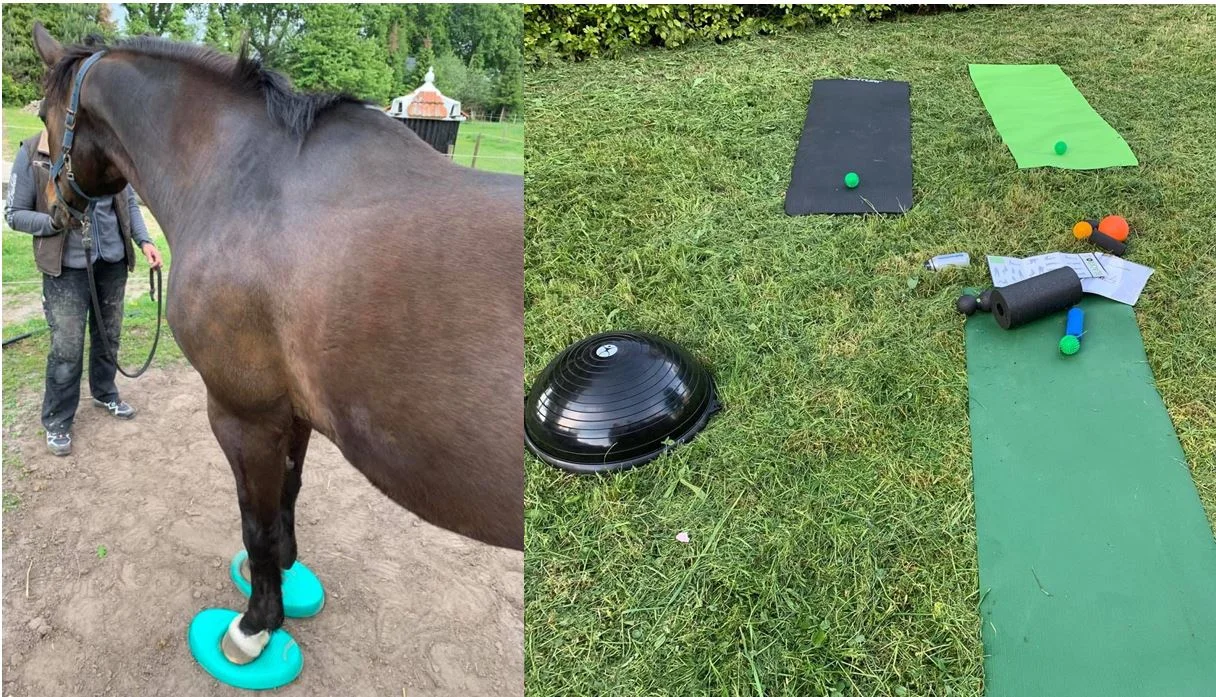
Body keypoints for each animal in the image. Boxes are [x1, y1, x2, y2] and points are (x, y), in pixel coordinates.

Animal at [31, 23, 522, 666]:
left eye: (44, 115)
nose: (55, 209)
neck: (250, 182)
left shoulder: (244, 414)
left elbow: (256, 520)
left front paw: (256, 624)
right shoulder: (293, 412)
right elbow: (288, 490)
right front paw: (285, 573)